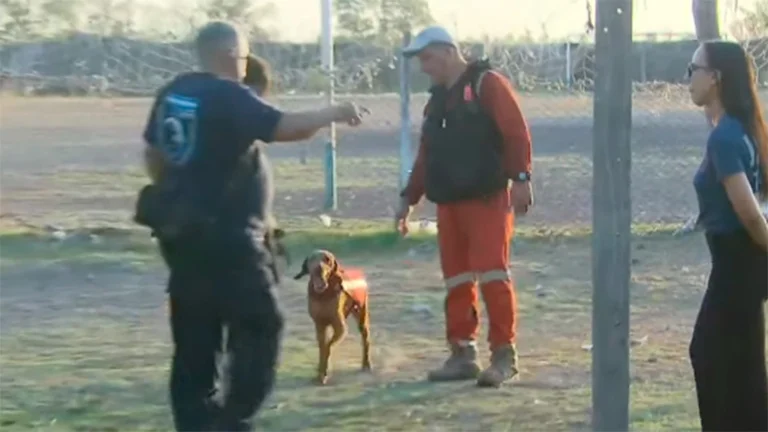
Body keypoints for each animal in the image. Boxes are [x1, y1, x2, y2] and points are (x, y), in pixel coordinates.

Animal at [294, 250, 372, 384]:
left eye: (327, 259)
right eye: (311, 259)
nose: (318, 268)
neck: (323, 295)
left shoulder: (340, 327)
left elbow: (328, 347)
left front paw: (325, 372)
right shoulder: (319, 325)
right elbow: (322, 346)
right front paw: (320, 372)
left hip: (362, 312)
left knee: (365, 338)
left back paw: (366, 364)